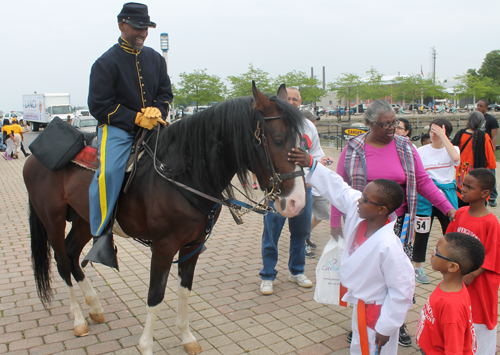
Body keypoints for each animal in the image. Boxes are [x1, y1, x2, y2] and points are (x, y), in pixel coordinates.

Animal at [25, 82, 306, 354]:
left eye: (301, 141)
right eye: (278, 139)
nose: (297, 202)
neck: (184, 175)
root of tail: (32, 156)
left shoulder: (193, 246)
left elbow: (184, 290)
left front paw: (187, 337)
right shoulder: (163, 247)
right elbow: (156, 294)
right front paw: (147, 345)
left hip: (85, 220)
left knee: (72, 253)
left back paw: (94, 307)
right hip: (52, 220)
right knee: (62, 262)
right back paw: (79, 320)